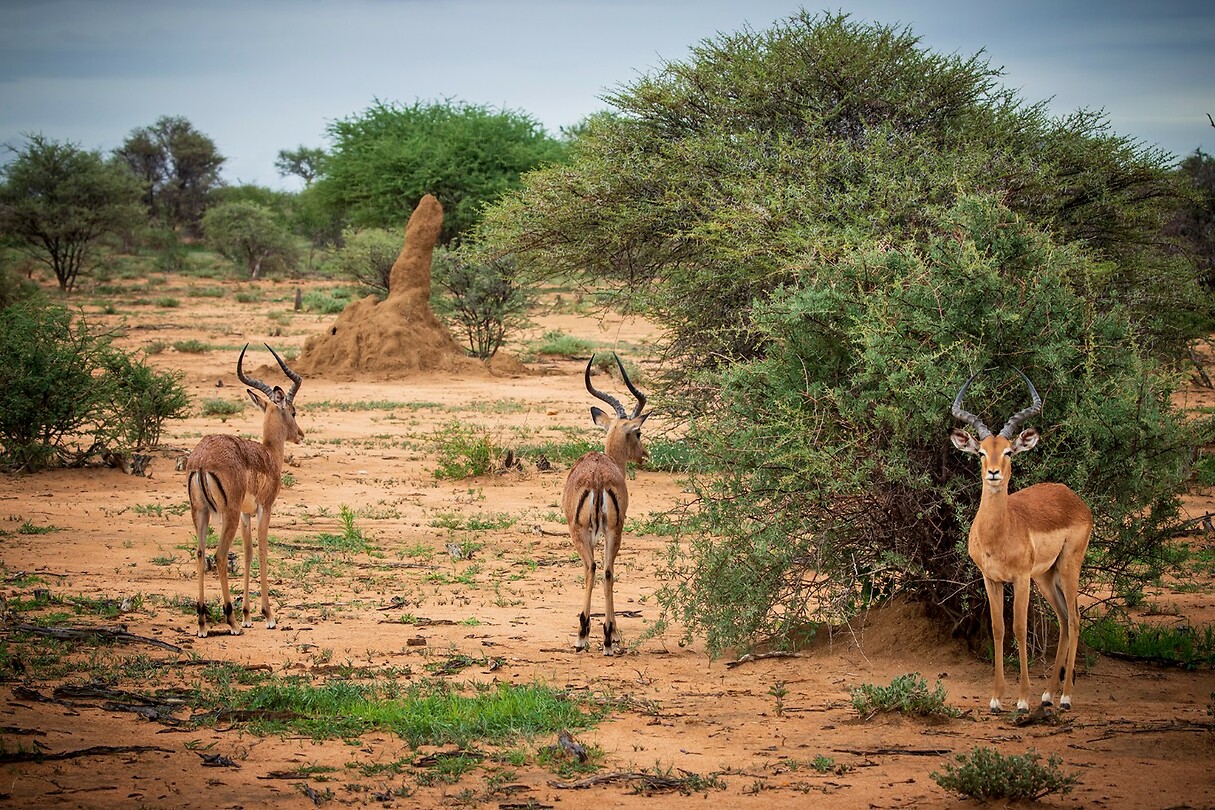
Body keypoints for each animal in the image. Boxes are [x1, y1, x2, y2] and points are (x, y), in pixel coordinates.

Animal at [185, 344, 303, 638]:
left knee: (200, 554)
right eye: (293, 411)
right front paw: (268, 616)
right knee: (219, 555)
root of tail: (201, 460)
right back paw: (232, 622)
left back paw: (203, 623)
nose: (300, 434)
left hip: (200, 513)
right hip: (227, 514)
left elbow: (248, 554)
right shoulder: (264, 508)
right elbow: (262, 551)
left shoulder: (246, 514)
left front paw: (249, 615)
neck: (268, 454)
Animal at [562, 354, 650, 655]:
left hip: (587, 532)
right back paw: (605, 637)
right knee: (606, 570)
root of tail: (598, 479)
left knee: (595, 569)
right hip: (611, 531)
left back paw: (589, 636)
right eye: (638, 433)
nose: (645, 454)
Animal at [949, 370, 1092, 712]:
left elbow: (1019, 628)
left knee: (1075, 619)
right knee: (1063, 620)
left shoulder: (1021, 578)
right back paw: (1048, 696)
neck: (998, 534)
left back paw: (1065, 697)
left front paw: (1022, 700)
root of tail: (1073, 497)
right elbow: (999, 629)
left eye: (1009, 451)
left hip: (1067, 569)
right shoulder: (991, 579)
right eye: (981, 452)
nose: (993, 473)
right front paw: (996, 699)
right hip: (1046, 576)